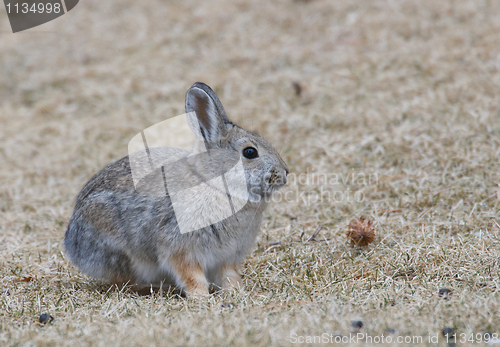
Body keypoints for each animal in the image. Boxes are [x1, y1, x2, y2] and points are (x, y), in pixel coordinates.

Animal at [64, 83, 290, 298]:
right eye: (250, 152)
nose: (285, 172)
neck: (214, 183)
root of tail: (72, 245)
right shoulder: (180, 249)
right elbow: (192, 275)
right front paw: (201, 297)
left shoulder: (227, 256)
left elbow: (229, 275)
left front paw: (236, 292)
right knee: (121, 283)